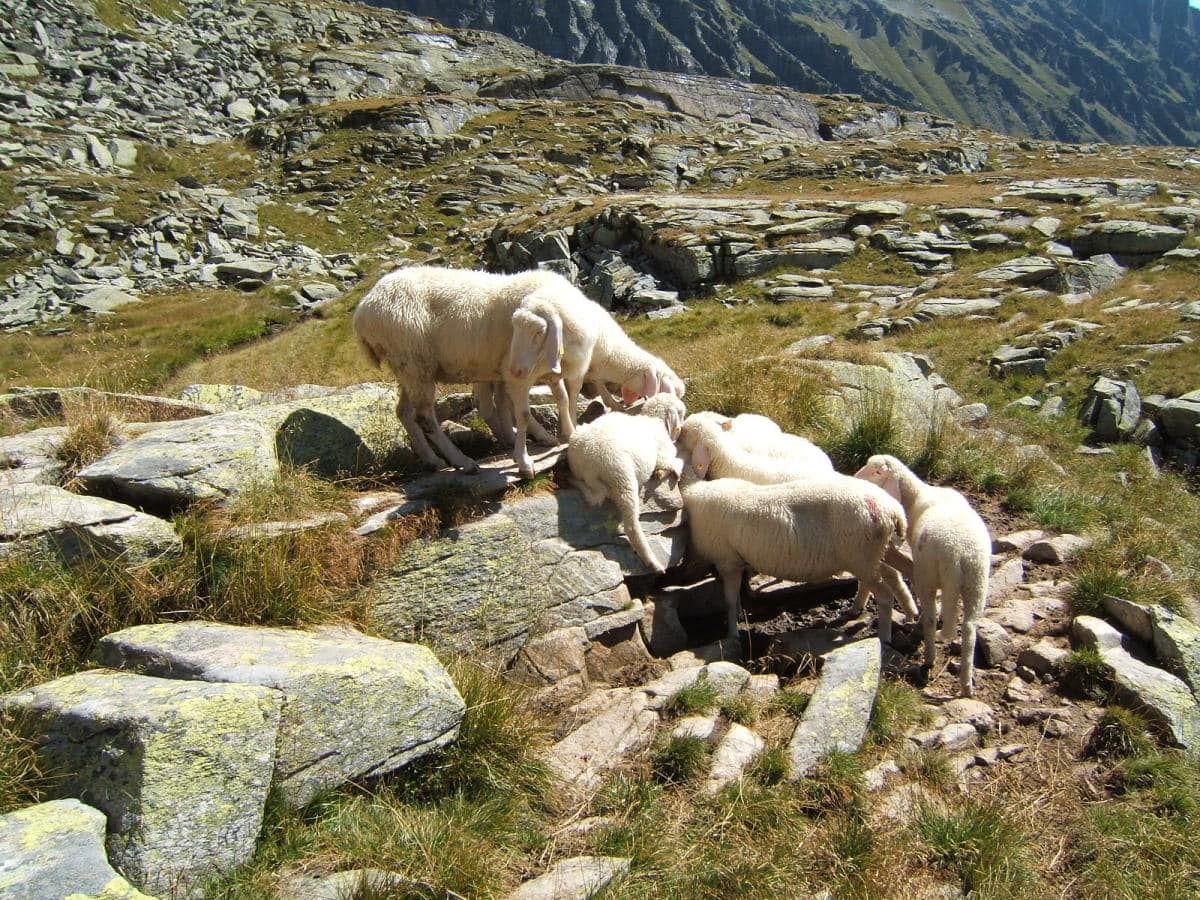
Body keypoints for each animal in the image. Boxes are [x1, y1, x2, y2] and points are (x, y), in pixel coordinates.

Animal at [566, 395, 686, 574]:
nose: (682, 429)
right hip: (623, 476)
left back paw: (571, 481)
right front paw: (670, 472)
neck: (654, 420)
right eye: (682, 413)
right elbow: (678, 462)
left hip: (583, 468)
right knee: (630, 525)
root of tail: (590, 459)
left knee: (593, 495)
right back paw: (653, 563)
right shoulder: (664, 454)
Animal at [679, 468, 914, 644]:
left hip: (862, 555)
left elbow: (728, 599)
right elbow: (735, 595)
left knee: (884, 595)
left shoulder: (727, 559)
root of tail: (893, 509)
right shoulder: (734, 560)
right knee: (898, 572)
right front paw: (737, 615)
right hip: (873, 553)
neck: (694, 492)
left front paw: (732, 633)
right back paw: (901, 613)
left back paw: (885, 637)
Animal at [854, 454, 991, 697]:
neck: (917, 496)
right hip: (977, 582)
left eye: (877, 472)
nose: (854, 477)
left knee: (930, 617)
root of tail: (959, 554)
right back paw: (966, 684)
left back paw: (929, 657)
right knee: (969, 628)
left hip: (928, 574)